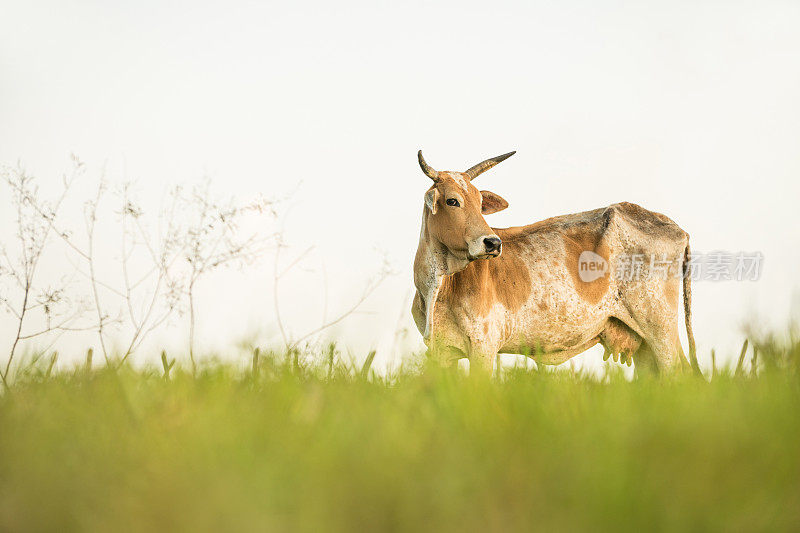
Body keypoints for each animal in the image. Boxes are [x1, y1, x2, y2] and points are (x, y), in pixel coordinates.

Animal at [412, 148, 700, 376]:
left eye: (481, 202)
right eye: (452, 201)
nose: (493, 243)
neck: (439, 286)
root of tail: (677, 228)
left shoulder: (484, 347)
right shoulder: (441, 353)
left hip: (660, 329)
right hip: (643, 344)